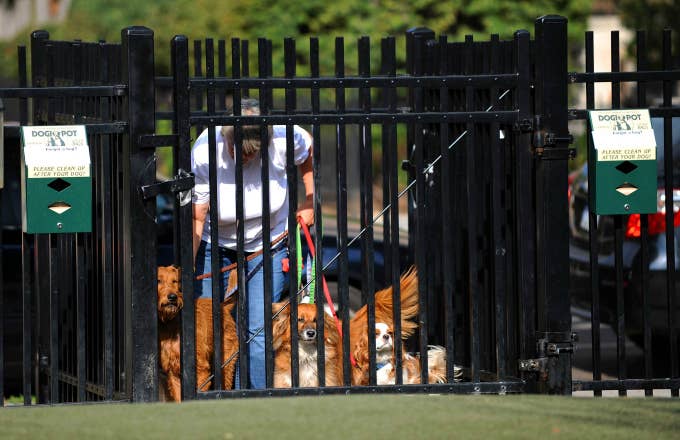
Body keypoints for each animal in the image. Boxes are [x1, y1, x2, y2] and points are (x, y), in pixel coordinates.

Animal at [157, 264, 239, 402]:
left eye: (175, 281)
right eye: (158, 280)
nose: (173, 297)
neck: (172, 322)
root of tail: (223, 307)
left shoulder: (201, 370)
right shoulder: (173, 373)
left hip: (226, 364)